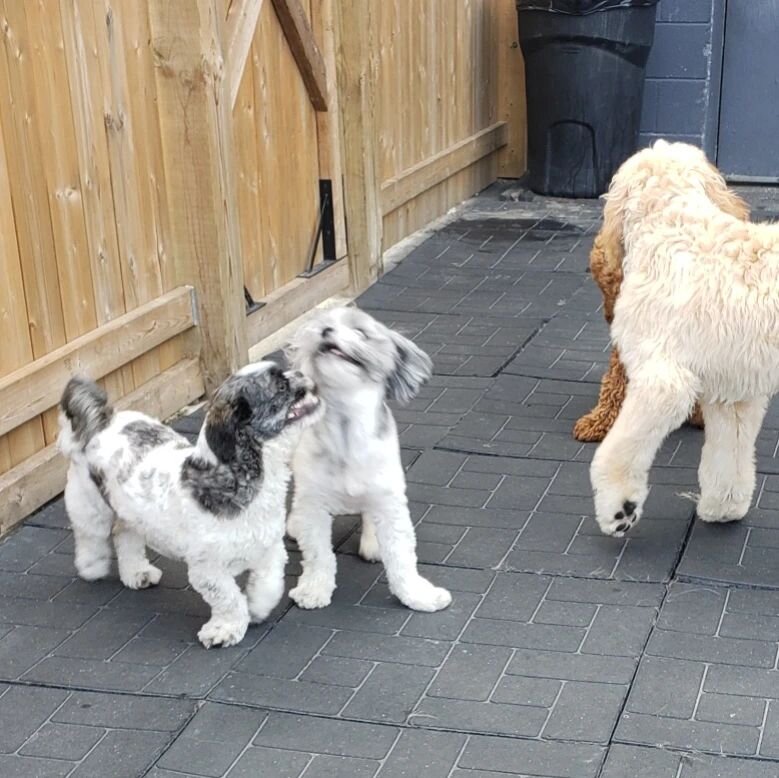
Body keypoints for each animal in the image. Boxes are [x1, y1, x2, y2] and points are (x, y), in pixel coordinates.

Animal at [57, 360, 320, 644]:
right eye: (281, 386)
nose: (302, 374)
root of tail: (105, 421)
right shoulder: (207, 568)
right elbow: (228, 598)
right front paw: (224, 629)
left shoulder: (269, 547)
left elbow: (269, 584)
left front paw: (257, 607)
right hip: (90, 504)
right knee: (89, 535)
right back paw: (91, 566)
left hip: (131, 513)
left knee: (125, 535)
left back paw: (137, 572)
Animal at [284, 306, 450, 608]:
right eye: (323, 324)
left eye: (360, 332)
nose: (326, 331)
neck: (346, 430)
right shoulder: (313, 505)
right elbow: (318, 556)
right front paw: (314, 589)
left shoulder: (390, 502)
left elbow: (402, 557)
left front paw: (417, 595)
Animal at [596, 141, 776, 532]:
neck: (672, 225)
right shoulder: (733, 393)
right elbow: (728, 458)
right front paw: (723, 507)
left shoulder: (662, 380)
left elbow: (619, 449)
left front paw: (620, 508)